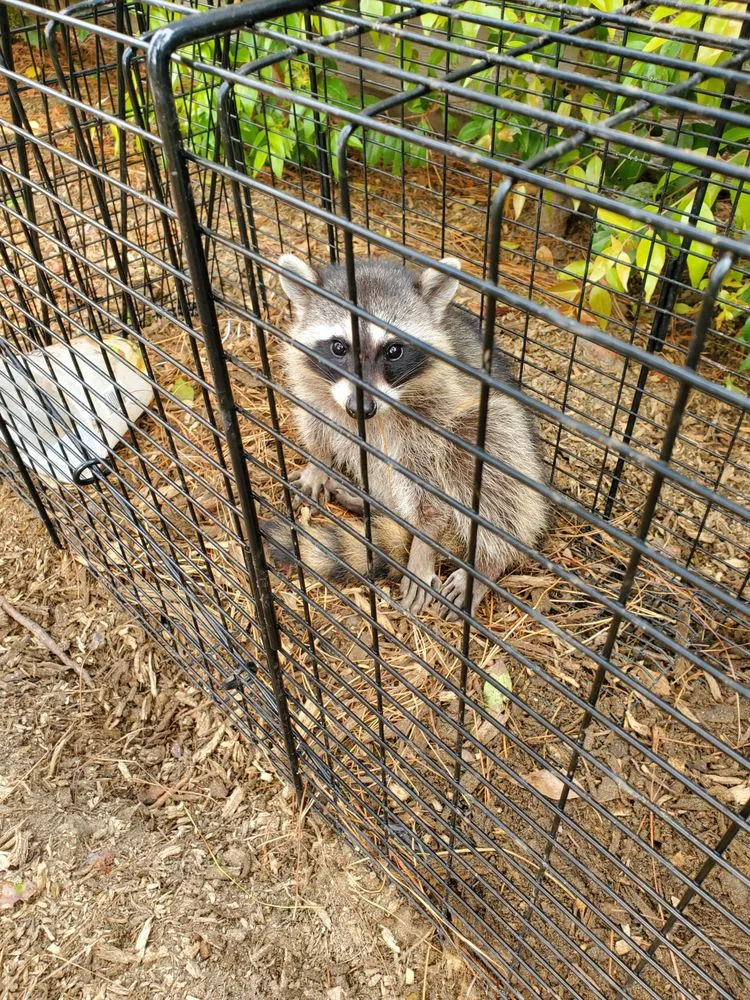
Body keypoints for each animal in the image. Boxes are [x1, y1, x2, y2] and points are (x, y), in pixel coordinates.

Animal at [265, 253, 549, 619]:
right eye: (339, 347)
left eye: (394, 351)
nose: (361, 408)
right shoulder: (317, 384)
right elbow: (317, 421)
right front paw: (318, 462)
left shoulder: (436, 411)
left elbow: (432, 492)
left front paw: (424, 547)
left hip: (494, 427)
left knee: (490, 456)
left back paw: (485, 562)